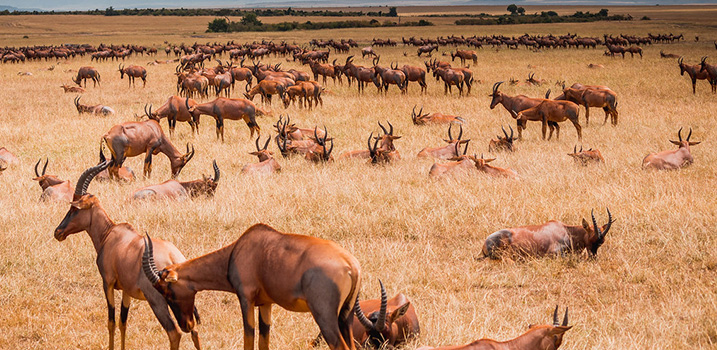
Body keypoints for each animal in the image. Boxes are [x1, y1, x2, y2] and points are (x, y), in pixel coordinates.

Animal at [54, 161, 201, 350]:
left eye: (74, 208)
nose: (58, 232)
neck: (110, 234)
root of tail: (172, 258)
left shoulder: (108, 283)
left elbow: (111, 321)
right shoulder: (126, 290)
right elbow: (123, 322)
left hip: (157, 301)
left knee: (174, 333)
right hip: (184, 304)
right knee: (194, 331)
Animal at [142, 223, 360, 350]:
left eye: (168, 292)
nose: (186, 326)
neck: (239, 249)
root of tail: (352, 265)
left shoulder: (246, 299)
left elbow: (248, 338)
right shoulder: (265, 304)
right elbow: (264, 341)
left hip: (325, 318)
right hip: (346, 317)